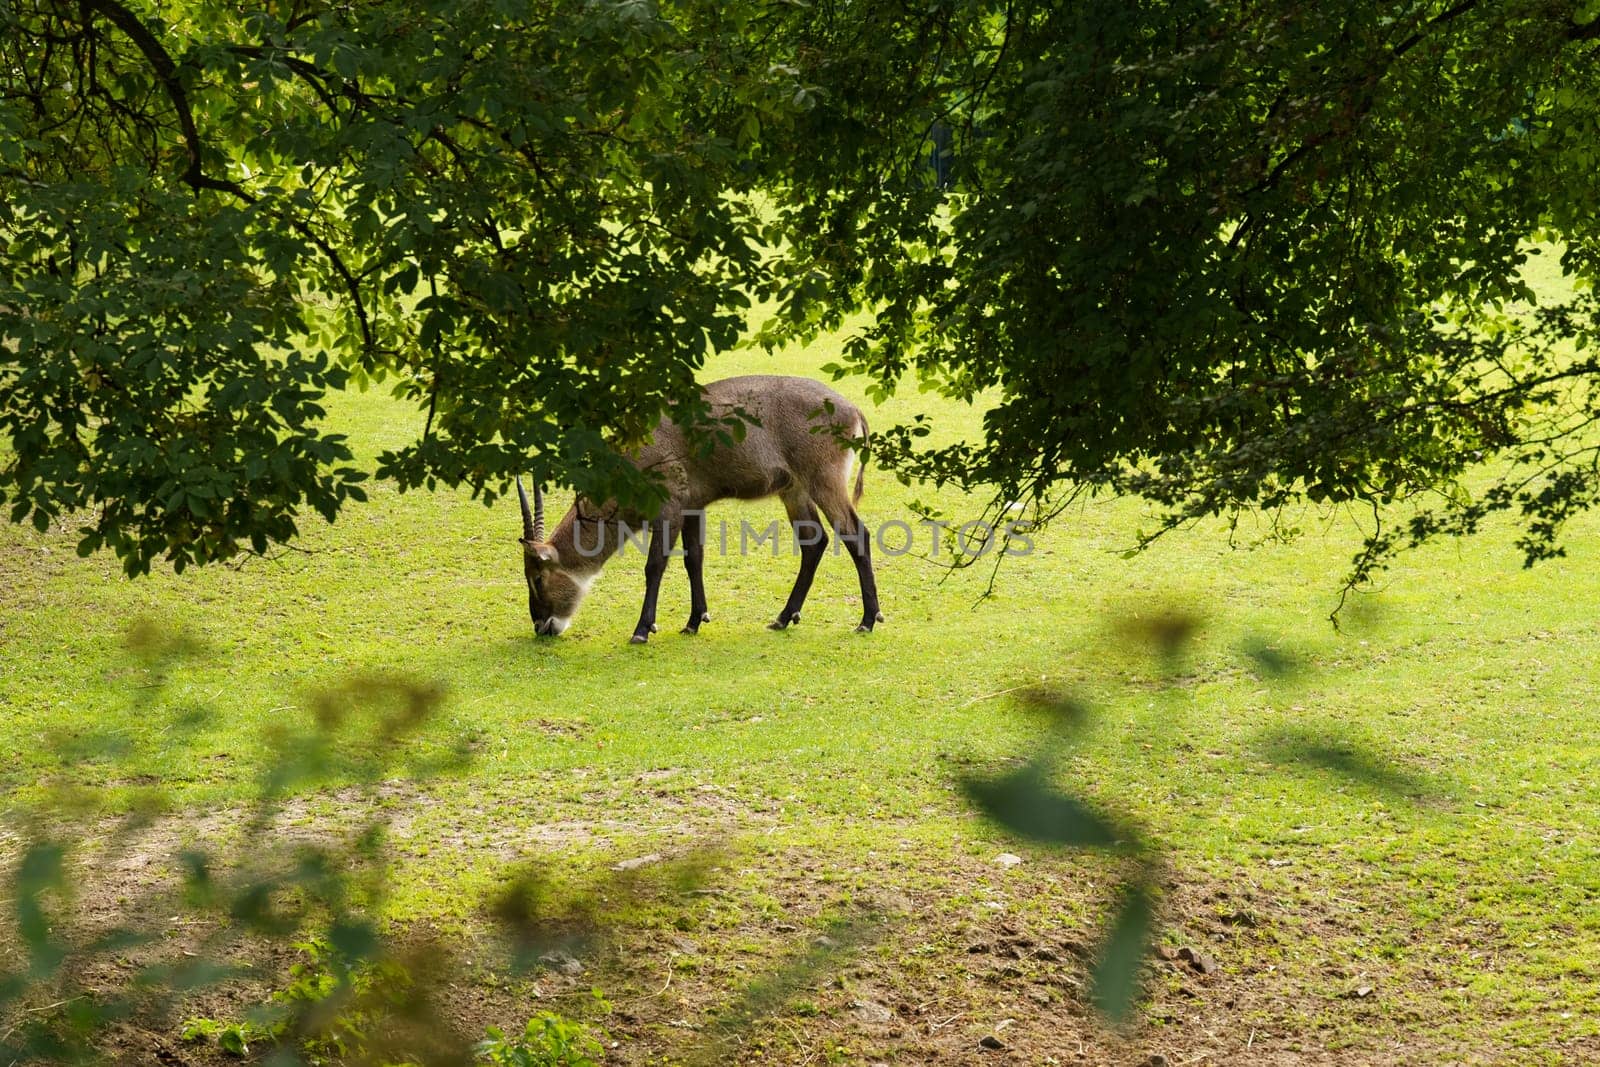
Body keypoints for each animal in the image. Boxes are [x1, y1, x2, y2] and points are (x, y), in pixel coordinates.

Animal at [515, 375, 883, 643]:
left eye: (536, 578)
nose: (541, 626)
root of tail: (852, 408)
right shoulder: (693, 508)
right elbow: (694, 560)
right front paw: (694, 621)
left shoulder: (670, 509)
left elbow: (655, 565)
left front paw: (642, 630)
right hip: (794, 490)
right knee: (814, 541)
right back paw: (782, 618)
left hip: (823, 482)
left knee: (856, 535)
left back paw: (868, 620)